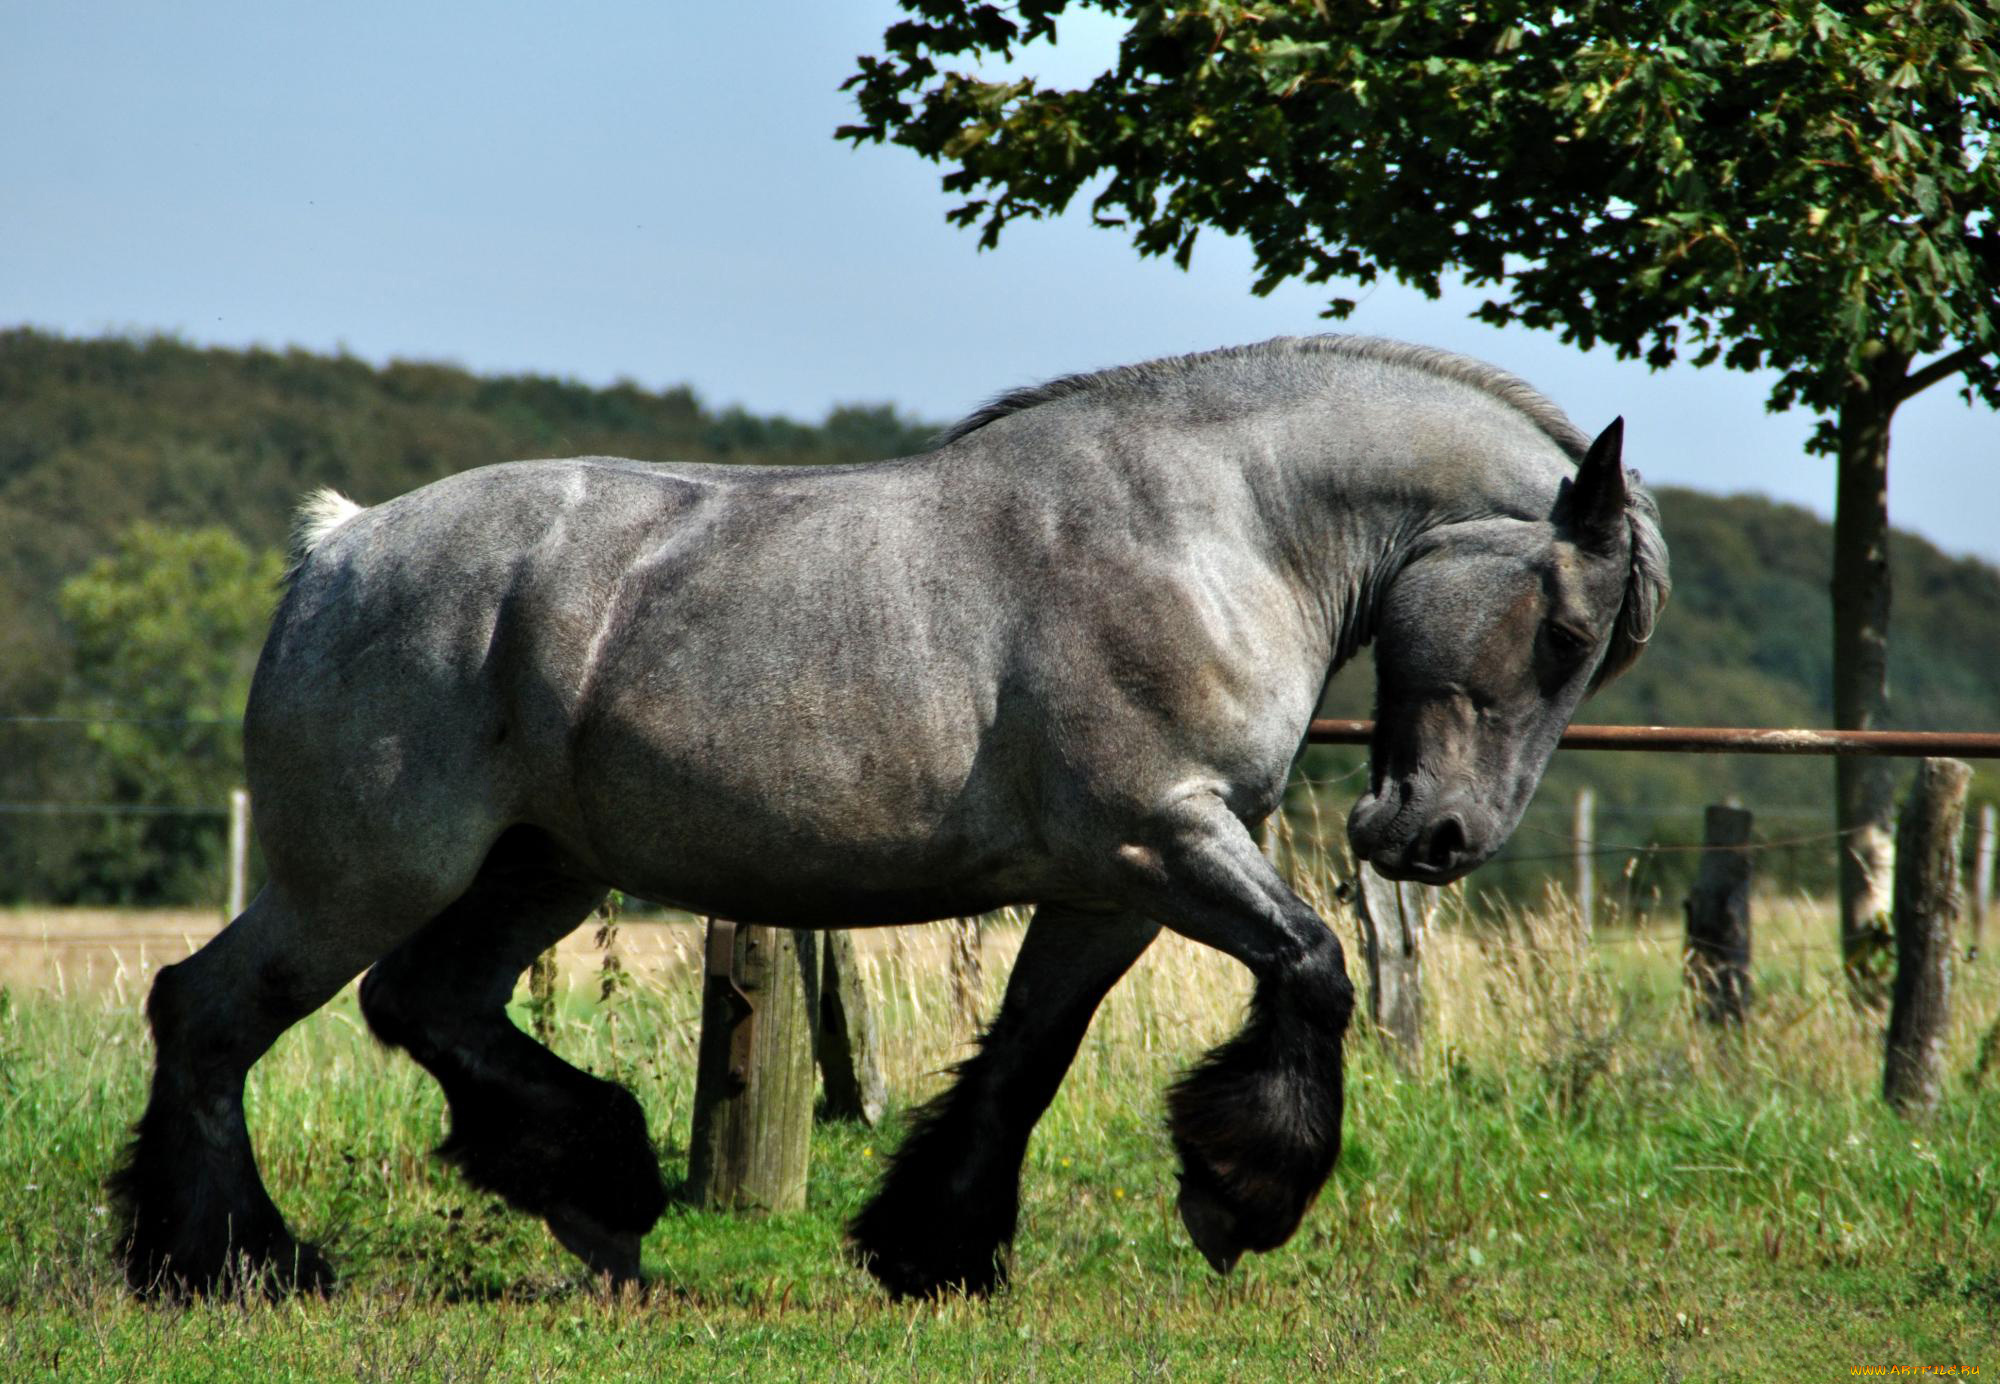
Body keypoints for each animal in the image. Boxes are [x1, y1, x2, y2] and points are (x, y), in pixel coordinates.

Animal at [110, 335, 1668, 1300]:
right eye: (1560, 629)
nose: (1437, 842)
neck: (1214, 527)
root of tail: (339, 549)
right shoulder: (1165, 843)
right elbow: (1317, 967)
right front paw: (1241, 1196)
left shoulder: (1109, 887)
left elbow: (1030, 1054)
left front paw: (932, 1246)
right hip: (368, 871)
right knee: (210, 1012)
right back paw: (226, 1263)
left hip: (537, 872)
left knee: (424, 1005)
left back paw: (599, 1194)